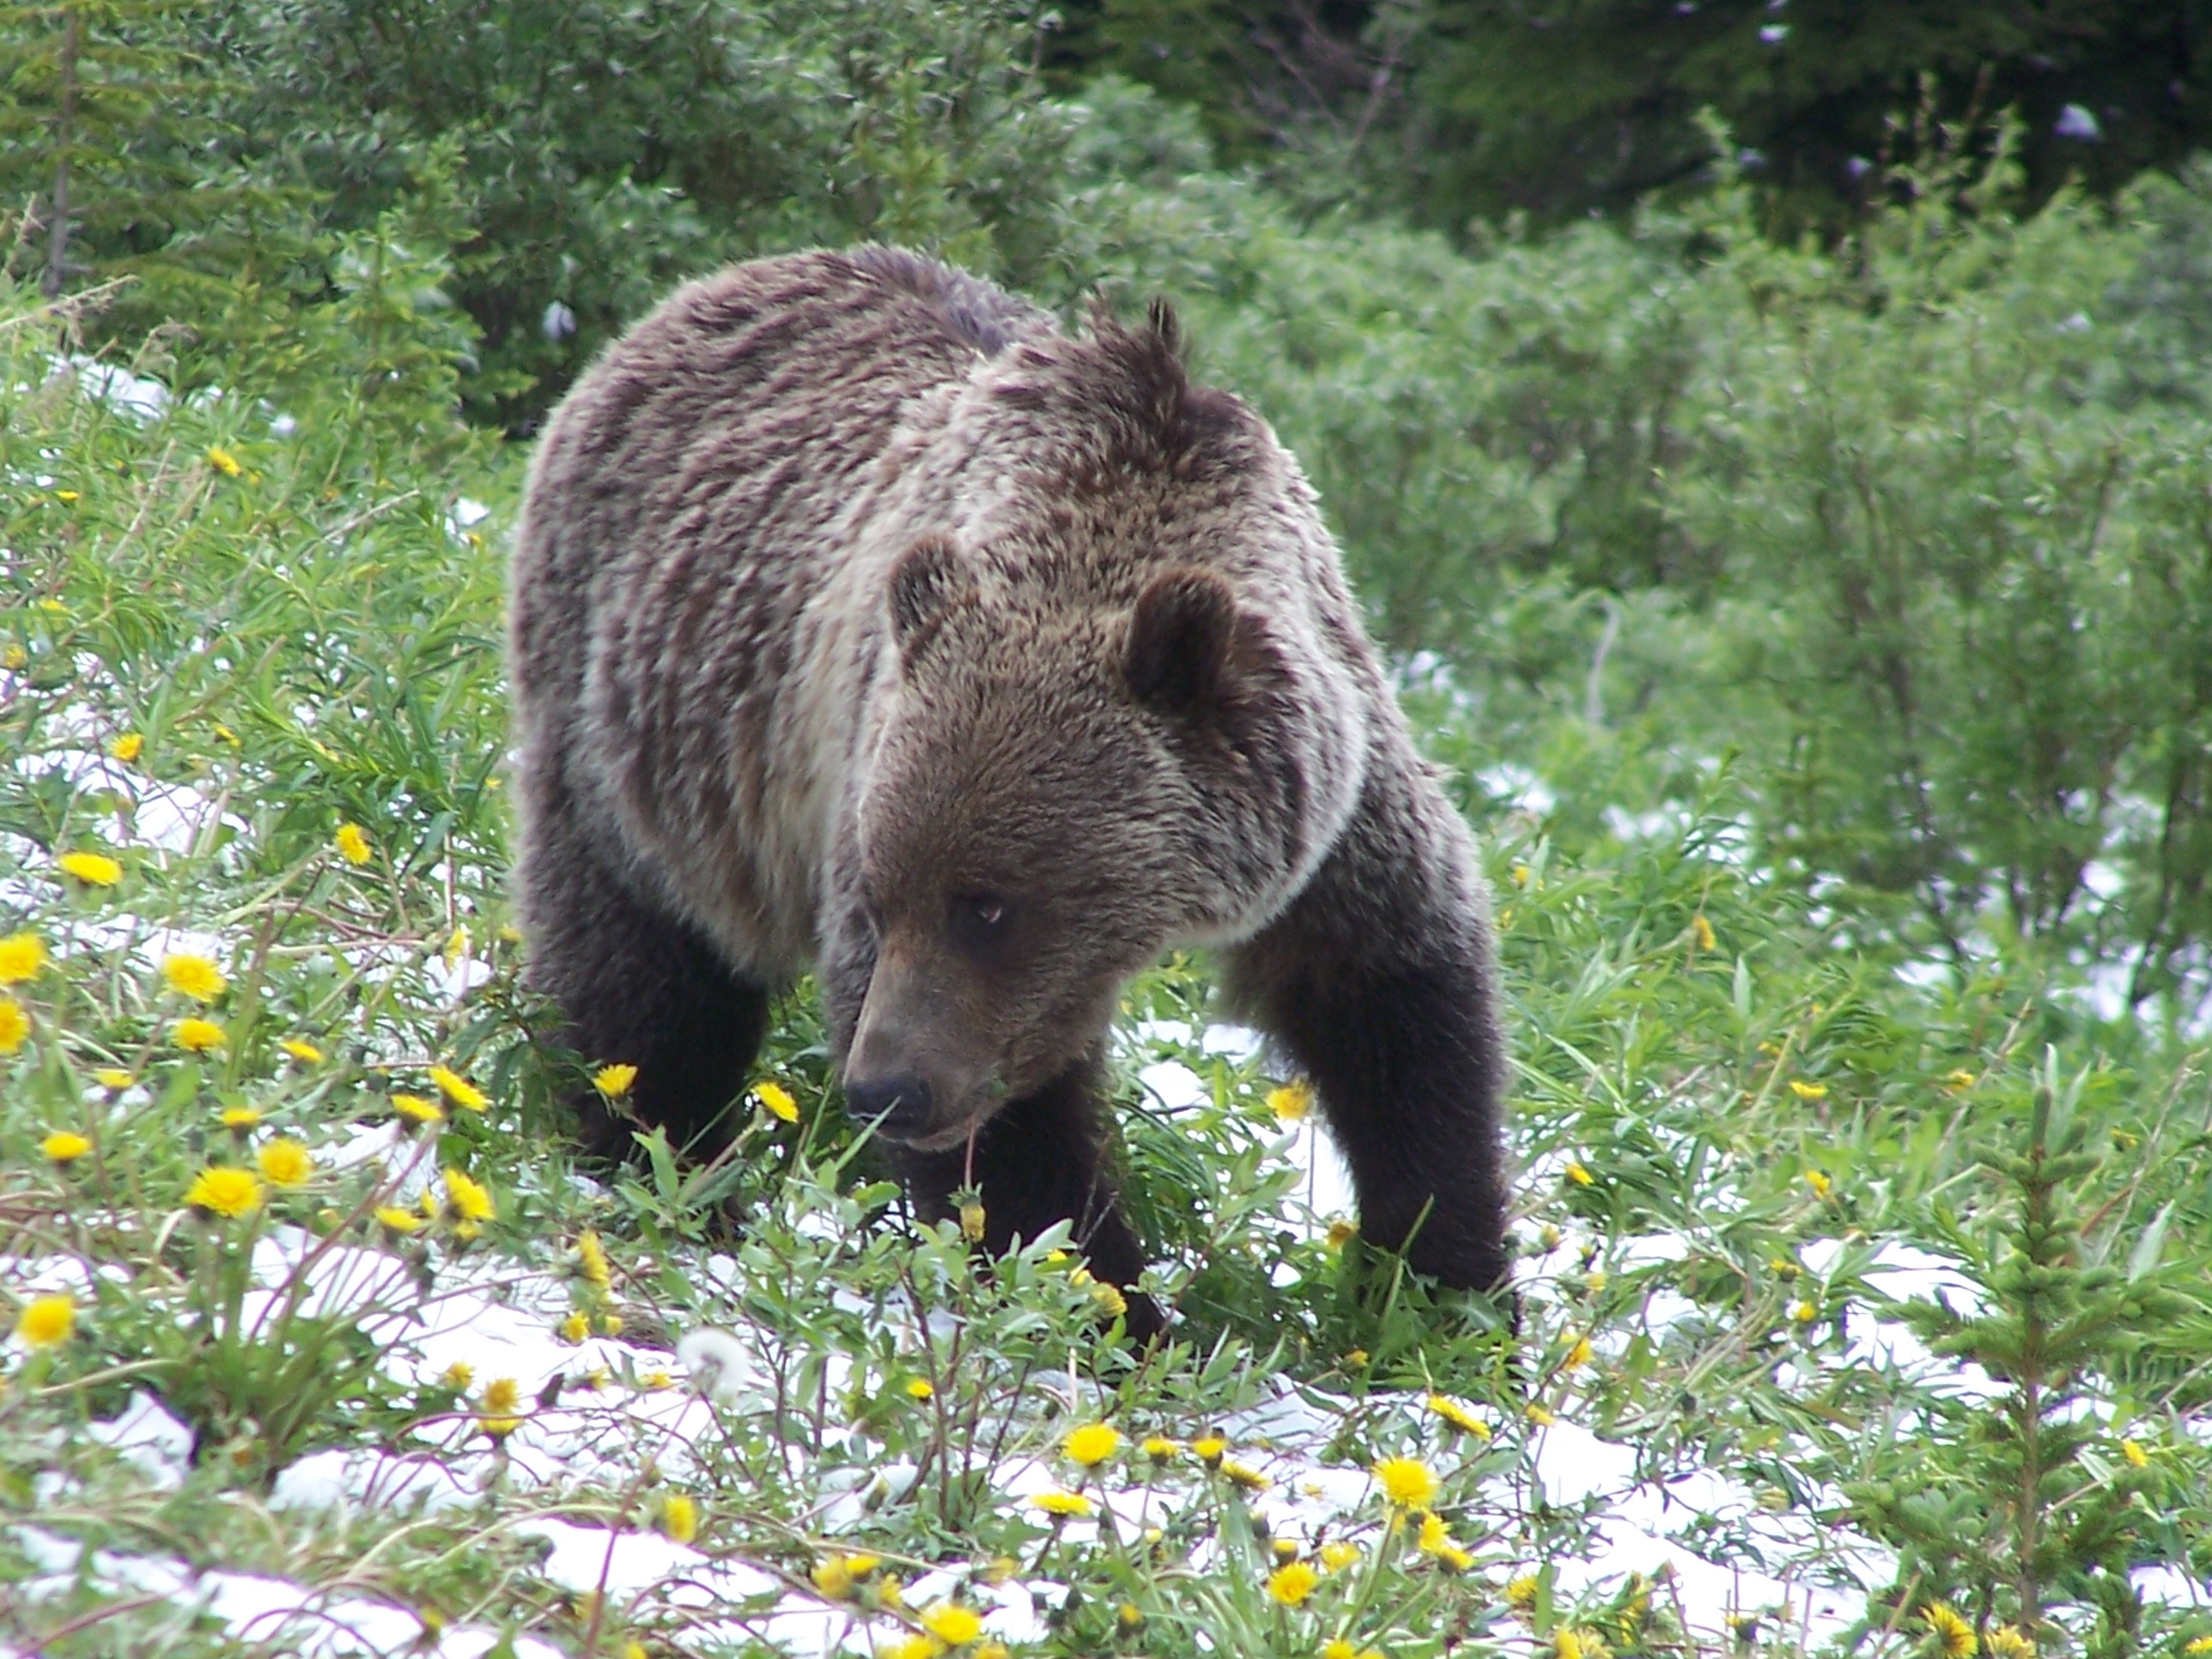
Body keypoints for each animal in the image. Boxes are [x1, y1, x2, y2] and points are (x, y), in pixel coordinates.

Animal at [506, 246, 1504, 1335]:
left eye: (986, 906)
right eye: (879, 897)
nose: (882, 1089)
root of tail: (672, 309)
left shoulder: (1330, 810)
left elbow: (1396, 1006)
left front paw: (1445, 1289)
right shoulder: (870, 763)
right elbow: (1020, 1151)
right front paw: (1113, 1311)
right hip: (632, 731)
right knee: (641, 976)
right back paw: (658, 1158)